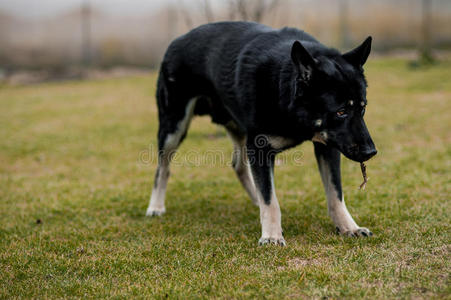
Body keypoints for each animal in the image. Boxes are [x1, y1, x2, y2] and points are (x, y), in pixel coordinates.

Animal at [146, 21, 378, 246]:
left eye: (363, 108)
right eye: (340, 112)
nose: (371, 152)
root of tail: (177, 40)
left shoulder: (327, 146)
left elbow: (335, 193)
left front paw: (349, 227)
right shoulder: (260, 148)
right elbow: (270, 199)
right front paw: (272, 236)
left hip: (238, 130)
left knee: (239, 166)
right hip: (173, 128)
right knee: (162, 168)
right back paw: (156, 206)